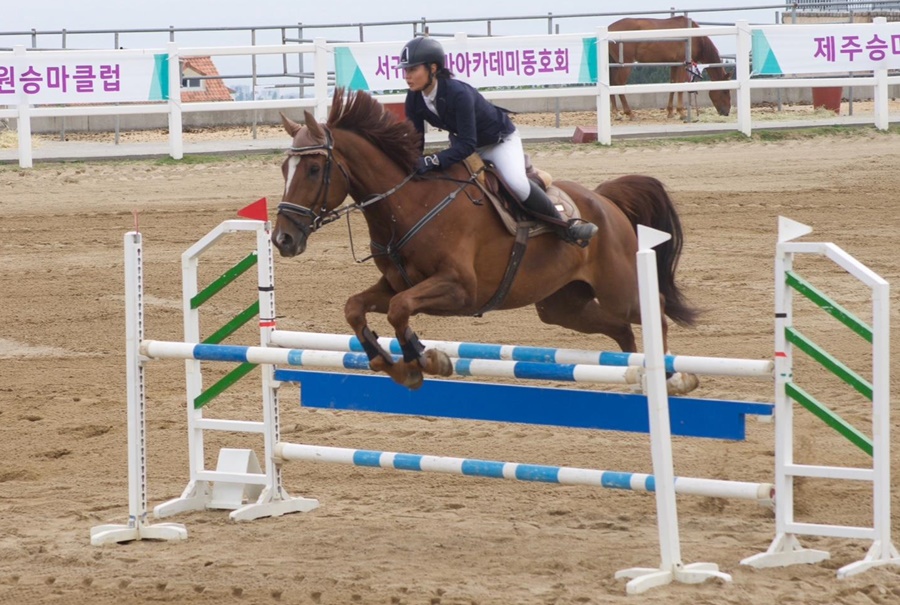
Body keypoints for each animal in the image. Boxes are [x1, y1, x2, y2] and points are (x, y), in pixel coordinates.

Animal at [272, 88, 700, 394]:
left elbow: (398, 309)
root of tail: (605, 200)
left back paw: (674, 378)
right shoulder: (394, 283)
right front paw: (397, 364)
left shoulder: (460, 289)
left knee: (655, 310)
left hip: (617, 289)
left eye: (313, 169)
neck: (405, 204)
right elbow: (357, 308)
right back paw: (641, 377)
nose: (283, 239)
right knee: (621, 329)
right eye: (283, 168)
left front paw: (424, 360)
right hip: (563, 306)